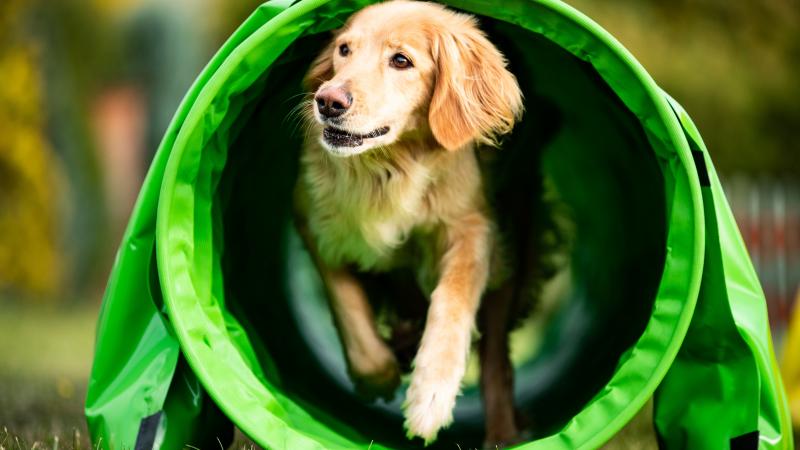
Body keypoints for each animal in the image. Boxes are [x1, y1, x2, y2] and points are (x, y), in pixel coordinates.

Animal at [294, 0, 532, 446]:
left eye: (401, 60)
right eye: (344, 50)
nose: (328, 101)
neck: (389, 167)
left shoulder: (473, 227)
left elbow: (452, 303)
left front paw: (430, 399)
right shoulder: (315, 222)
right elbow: (349, 306)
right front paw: (379, 376)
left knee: (497, 363)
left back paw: (503, 433)